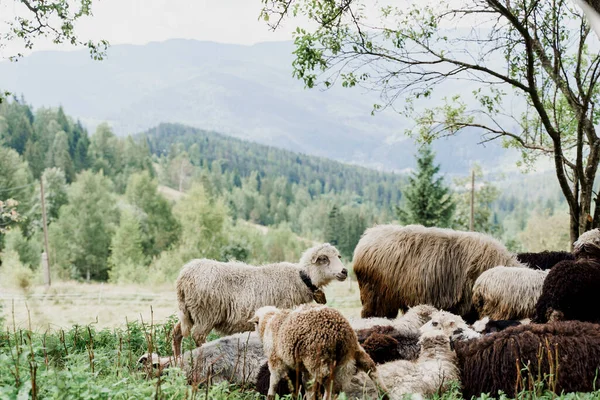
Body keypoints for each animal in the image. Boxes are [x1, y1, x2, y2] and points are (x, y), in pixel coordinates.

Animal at [171, 242, 346, 358]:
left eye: (338, 256)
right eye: (324, 258)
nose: (344, 271)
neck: (302, 279)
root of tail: (183, 277)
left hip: (188, 312)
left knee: (177, 332)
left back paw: (177, 361)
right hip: (206, 313)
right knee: (198, 337)